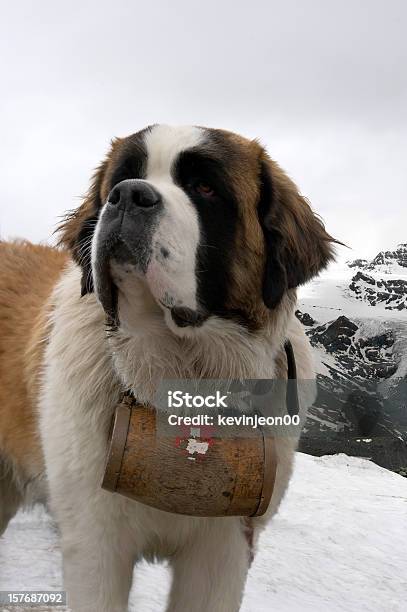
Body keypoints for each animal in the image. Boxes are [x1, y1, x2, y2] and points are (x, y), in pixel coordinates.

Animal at [0, 122, 336, 608]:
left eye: (205, 187)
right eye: (122, 179)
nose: (127, 195)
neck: (183, 369)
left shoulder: (224, 549)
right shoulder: (94, 544)